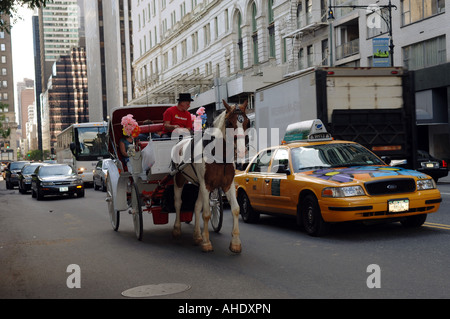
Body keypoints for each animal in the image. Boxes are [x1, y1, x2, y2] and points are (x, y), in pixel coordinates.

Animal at [171, 100, 250, 252]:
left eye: (247, 122)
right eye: (229, 123)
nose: (242, 151)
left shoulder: (227, 184)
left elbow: (235, 209)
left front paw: (235, 243)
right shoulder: (206, 185)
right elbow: (206, 213)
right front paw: (206, 242)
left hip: (199, 184)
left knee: (196, 206)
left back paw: (197, 235)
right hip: (179, 178)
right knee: (178, 203)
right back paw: (177, 228)